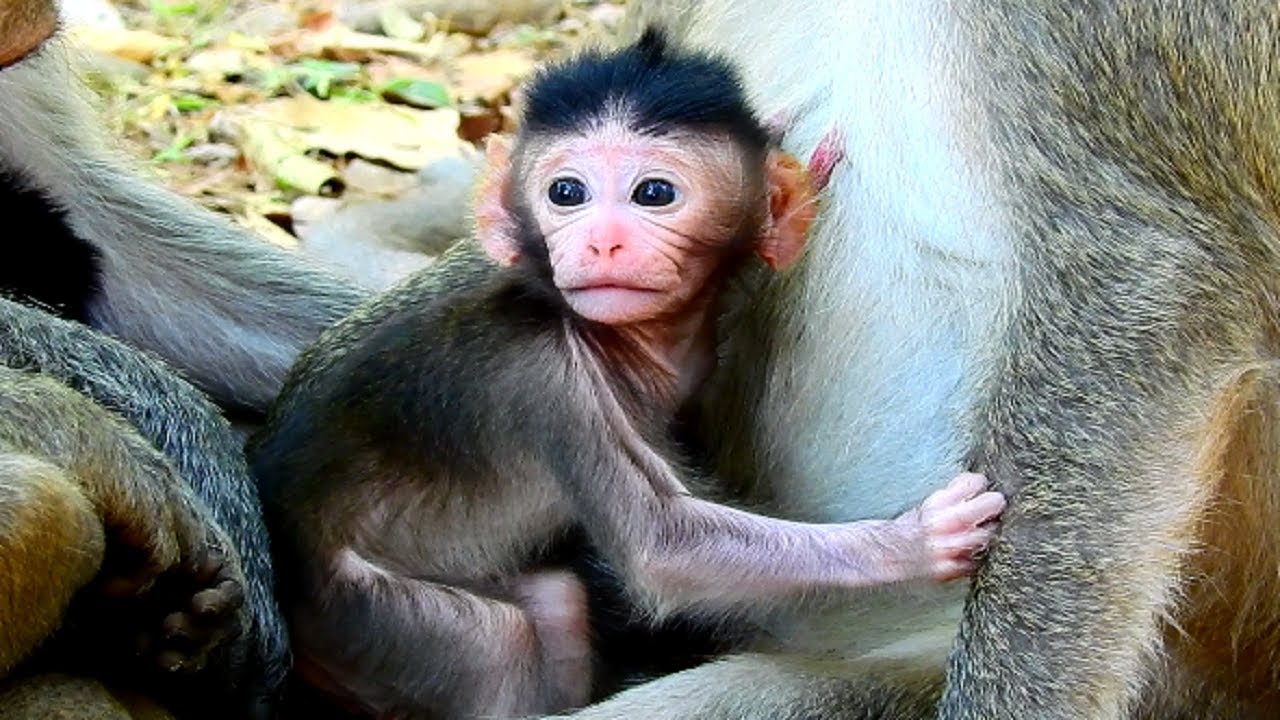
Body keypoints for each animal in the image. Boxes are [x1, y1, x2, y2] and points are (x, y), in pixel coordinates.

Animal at [248, 29, 1005, 720]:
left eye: (654, 193)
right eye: (567, 192)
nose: (601, 240)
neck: (603, 337)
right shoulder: (546, 382)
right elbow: (663, 550)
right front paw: (912, 542)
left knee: (553, 600)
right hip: (359, 615)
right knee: (496, 645)